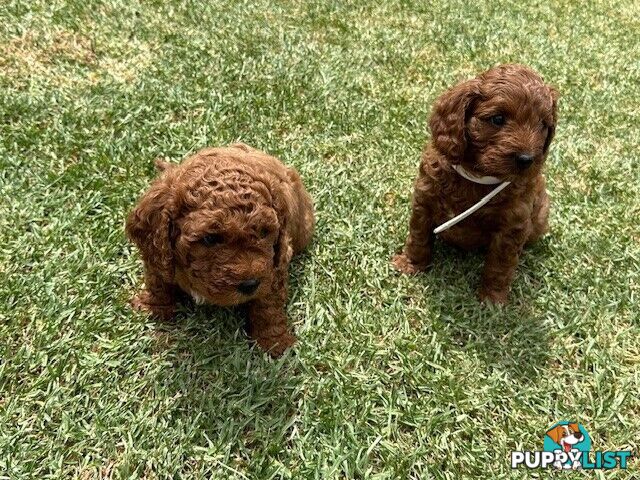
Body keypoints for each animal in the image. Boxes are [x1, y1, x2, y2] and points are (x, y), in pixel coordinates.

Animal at [125, 143, 316, 356]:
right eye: (210, 239)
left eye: (264, 232)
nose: (250, 284)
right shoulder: (158, 253)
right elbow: (157, 279)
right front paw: (153, 305)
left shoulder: (275, 265)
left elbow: (268, 304)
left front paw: (274, 341)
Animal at [390, 64, 556, 304]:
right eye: (497, 119)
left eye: (543, 125)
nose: (527, 160)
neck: (477, 175)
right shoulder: (424, 198)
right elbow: (418, 236)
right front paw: (410, 264)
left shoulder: (513, 225)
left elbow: (500, 264)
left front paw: (492, 298)